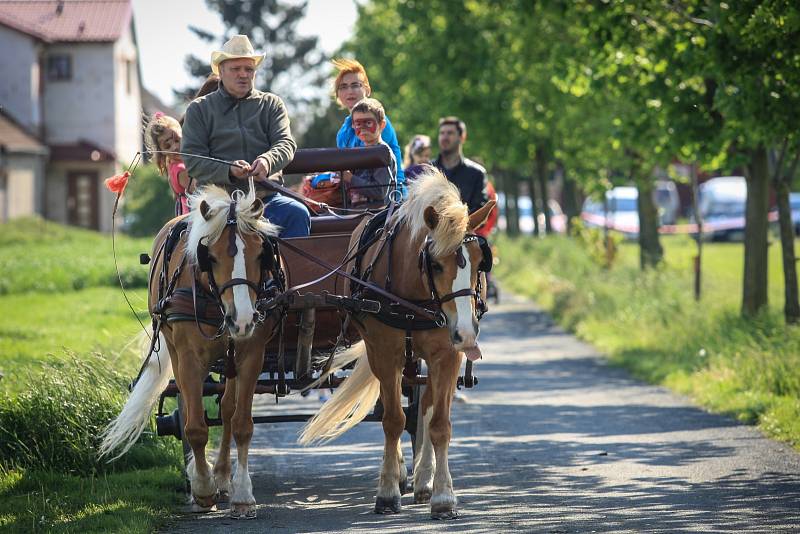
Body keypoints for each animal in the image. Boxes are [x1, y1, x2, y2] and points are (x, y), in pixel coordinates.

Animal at [101, 182, 282, 520]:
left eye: (260, 253)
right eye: (210, 256)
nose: (242, 319)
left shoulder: (251, 353)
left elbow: (241, 424)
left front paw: (242, 494)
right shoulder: (187, 358)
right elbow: (195, 427)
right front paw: (202, 489)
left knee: (227, 409)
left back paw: (223, 476)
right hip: (174, 348)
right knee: (195, 406)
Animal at [298, 171, 494, 520]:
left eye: (478, 263)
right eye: (436, 264)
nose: (466, 333)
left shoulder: (447, 355)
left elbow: (439, 424)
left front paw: (443, 496)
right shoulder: (386, 352)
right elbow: (392, 420)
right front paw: (388, 492)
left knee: (425, 405)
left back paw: (423, 479)